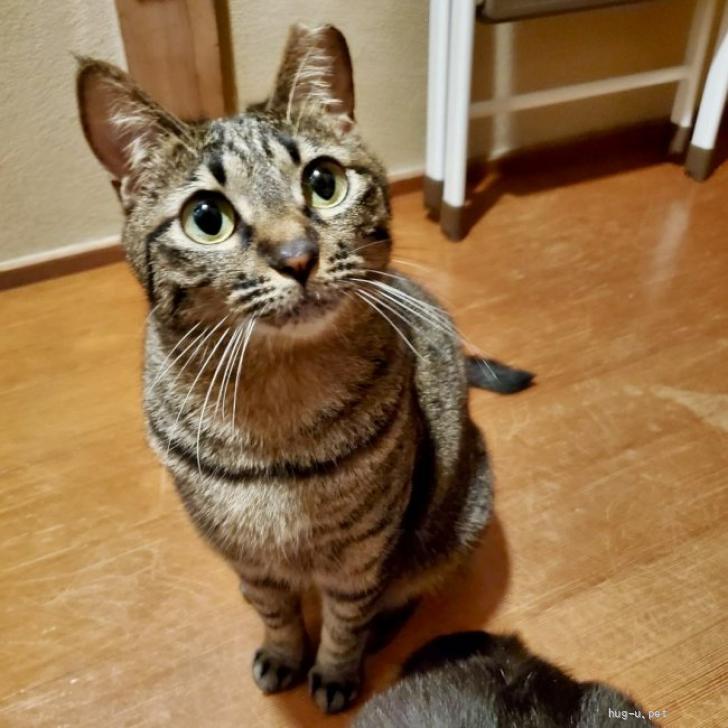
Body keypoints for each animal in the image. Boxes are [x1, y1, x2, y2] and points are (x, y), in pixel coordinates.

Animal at [75, 24, 532, 714]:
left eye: (324, 181)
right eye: (206, 218)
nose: (297, 255)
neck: (276, 410)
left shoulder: (362, 553)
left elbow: (345, 621)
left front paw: (336, 673)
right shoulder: (249, 559)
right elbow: (275, 613)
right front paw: (284, 655)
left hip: (452, 521)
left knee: (407, 591)